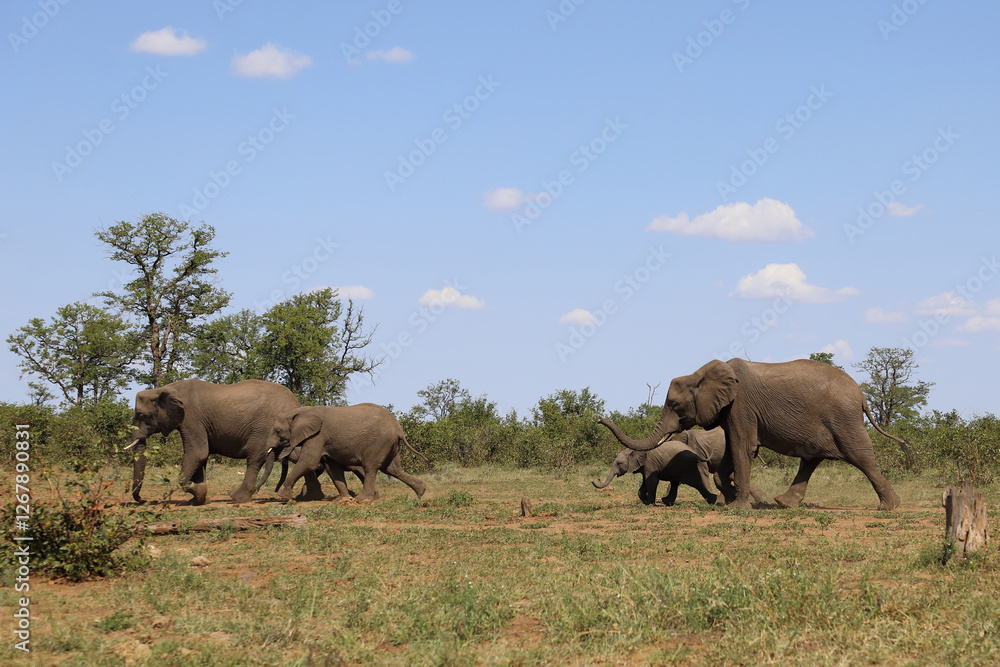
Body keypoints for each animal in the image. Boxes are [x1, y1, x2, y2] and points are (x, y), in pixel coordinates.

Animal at [127, 379, 300, 505]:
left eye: (141, 414)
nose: (142, 499)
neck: (167, 389)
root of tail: (296, 402)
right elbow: (201, 458)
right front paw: (200, 499)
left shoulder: (192, 419)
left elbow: (197, 453)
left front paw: (200, 494)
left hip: (264, 429)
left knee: (254, 460)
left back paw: (236, 498)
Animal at [267, 403, 429, 503]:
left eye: (278, 431)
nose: (275, 492)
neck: (298, 412)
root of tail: (398, 428)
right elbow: (333, 468)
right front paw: (343, 499)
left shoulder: (317, 436)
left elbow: (309, 462)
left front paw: (282, 497)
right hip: (390, 445)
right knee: (392, 469)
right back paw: (421, 491)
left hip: (379, 443)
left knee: (370, 467)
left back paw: (362, 499)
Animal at [592, 428, 765, 506]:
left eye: (618, 464)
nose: (594, 481)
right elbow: (646, 482)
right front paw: (647, 500)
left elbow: (652, 480)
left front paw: (651, 503)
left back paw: (716, 500)